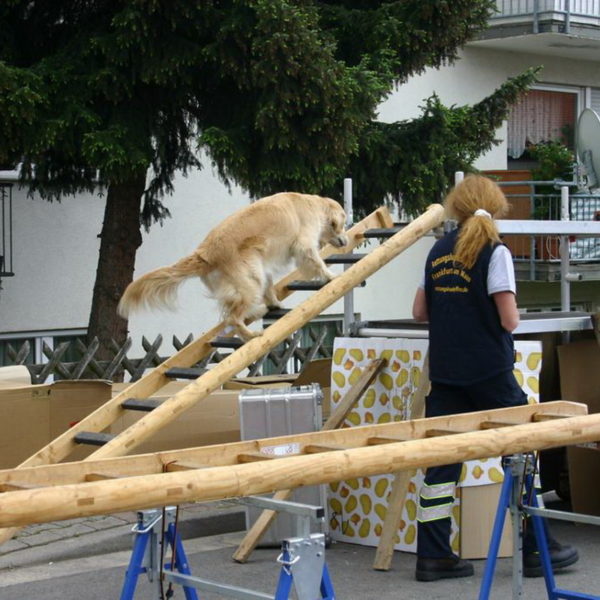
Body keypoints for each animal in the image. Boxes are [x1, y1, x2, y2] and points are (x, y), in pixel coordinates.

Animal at [118, 193, 350, 340]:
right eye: (343, 223)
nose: (346, 240)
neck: (314, 205)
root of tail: (205, 253)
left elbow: (271, 288)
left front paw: (276, 303)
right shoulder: (304, 244)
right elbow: (316, 261)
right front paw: (330, 276)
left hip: (255, 270)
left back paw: (262, 309)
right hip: (250, 280)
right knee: (233, 317)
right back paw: (251, 335)